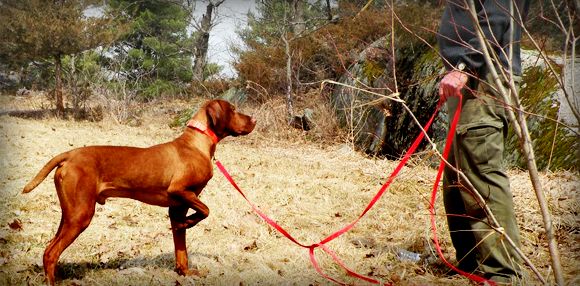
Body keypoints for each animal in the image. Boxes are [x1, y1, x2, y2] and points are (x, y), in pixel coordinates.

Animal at [23, 99, 256, 284]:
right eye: (233, 109)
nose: (254, 120)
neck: (196, 144)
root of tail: (69, 155)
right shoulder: (180, 190)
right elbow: (206, 210)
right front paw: (189, 223)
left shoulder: (177, 208)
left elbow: (181, 249)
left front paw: (185, 272)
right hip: (81, 216)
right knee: (51, 253)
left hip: (69, 214)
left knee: (48, 249)